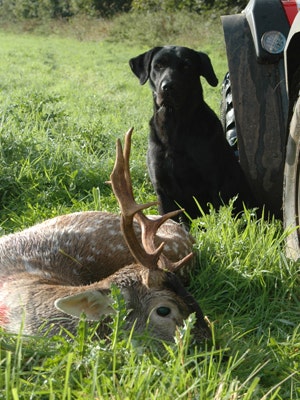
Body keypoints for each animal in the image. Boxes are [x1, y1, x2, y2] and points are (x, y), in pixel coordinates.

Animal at [129, 47, 255, 222]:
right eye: (158, 66)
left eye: (186, 67)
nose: (168, 86)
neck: (175, 126)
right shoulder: (162, 189)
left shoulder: (214, 183)